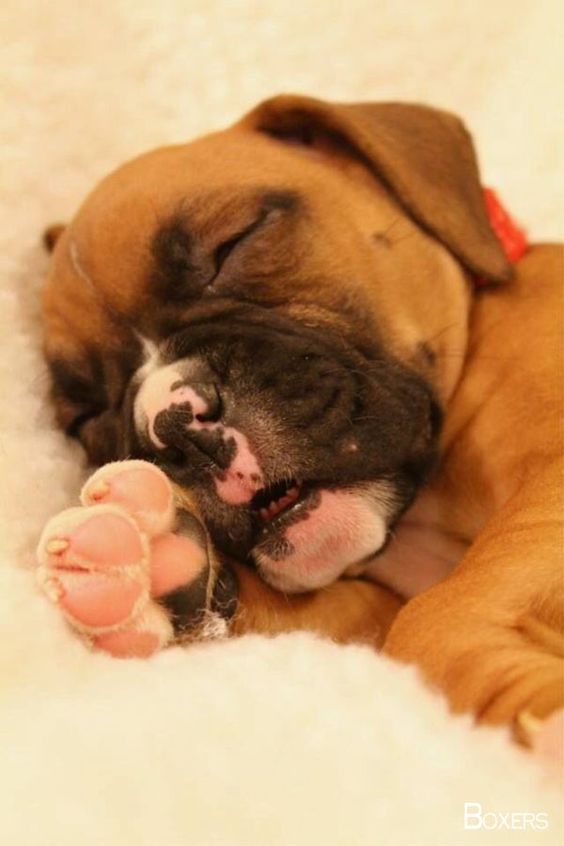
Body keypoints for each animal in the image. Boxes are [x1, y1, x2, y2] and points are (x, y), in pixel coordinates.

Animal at [40, 94, 564, 744]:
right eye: (86, 412)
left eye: (234, 243)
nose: (176, 426)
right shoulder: (366, 608)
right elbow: (358, 614)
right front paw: (163, 572)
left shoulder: (546, 492)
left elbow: (440, 613)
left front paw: (538, 717)